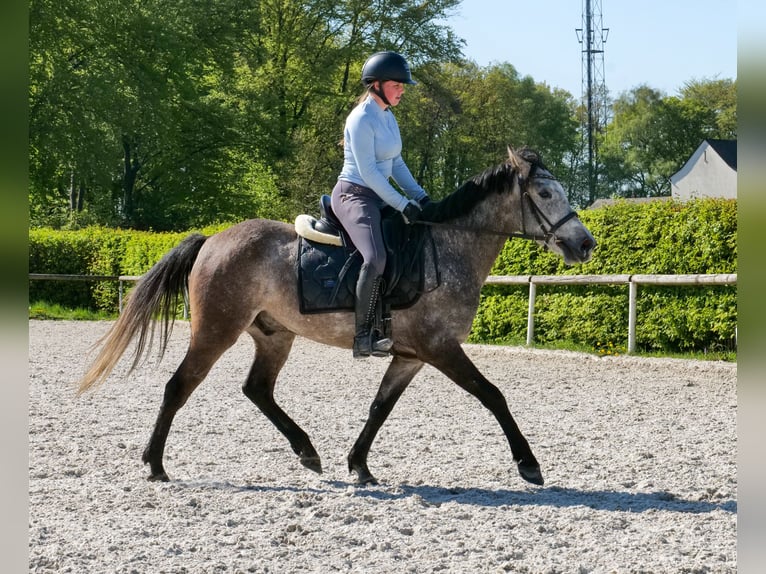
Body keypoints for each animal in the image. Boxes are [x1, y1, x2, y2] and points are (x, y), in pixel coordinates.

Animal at [78, 147, 596, 487]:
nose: (585, 243)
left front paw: (359, 465)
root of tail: (213, 240)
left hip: (274, 335)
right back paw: (156, 464)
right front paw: (529, 465)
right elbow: (493, 395)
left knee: (257, 389)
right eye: (545, 192)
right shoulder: (440, 348)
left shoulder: (411, 355)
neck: (449, 247)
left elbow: (379, 407)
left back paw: (308, 452)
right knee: (178, 386)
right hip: (216, 331)